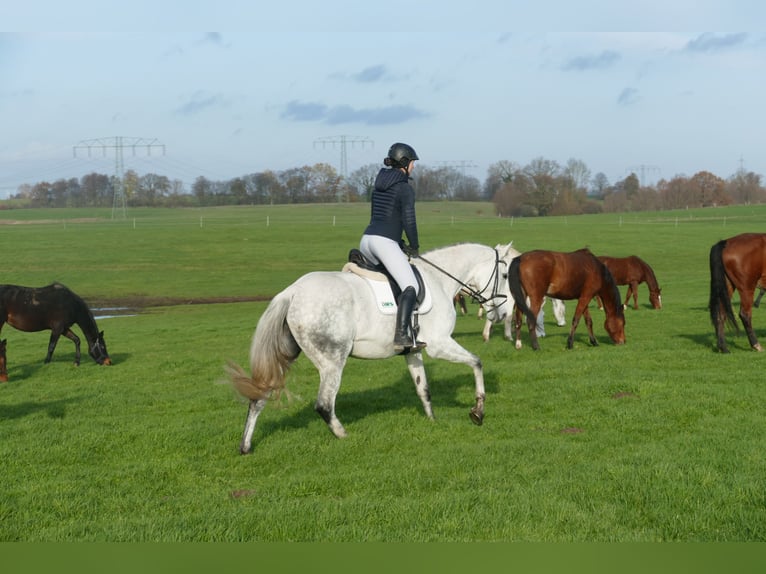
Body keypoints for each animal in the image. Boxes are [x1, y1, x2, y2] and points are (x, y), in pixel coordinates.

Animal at [226, 242, 516, 454]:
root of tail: (293, 291)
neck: (439, 280)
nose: (502, 314)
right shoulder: (440, 344)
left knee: (260, 396)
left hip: (287, 355)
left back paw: (246, 446)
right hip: (333, 361)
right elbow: (477, 362)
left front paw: (433, 422)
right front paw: (478, 411)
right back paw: (344, 435)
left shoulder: (414, 351)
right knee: (324, 404)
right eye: (504, 275)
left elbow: (423, 389)